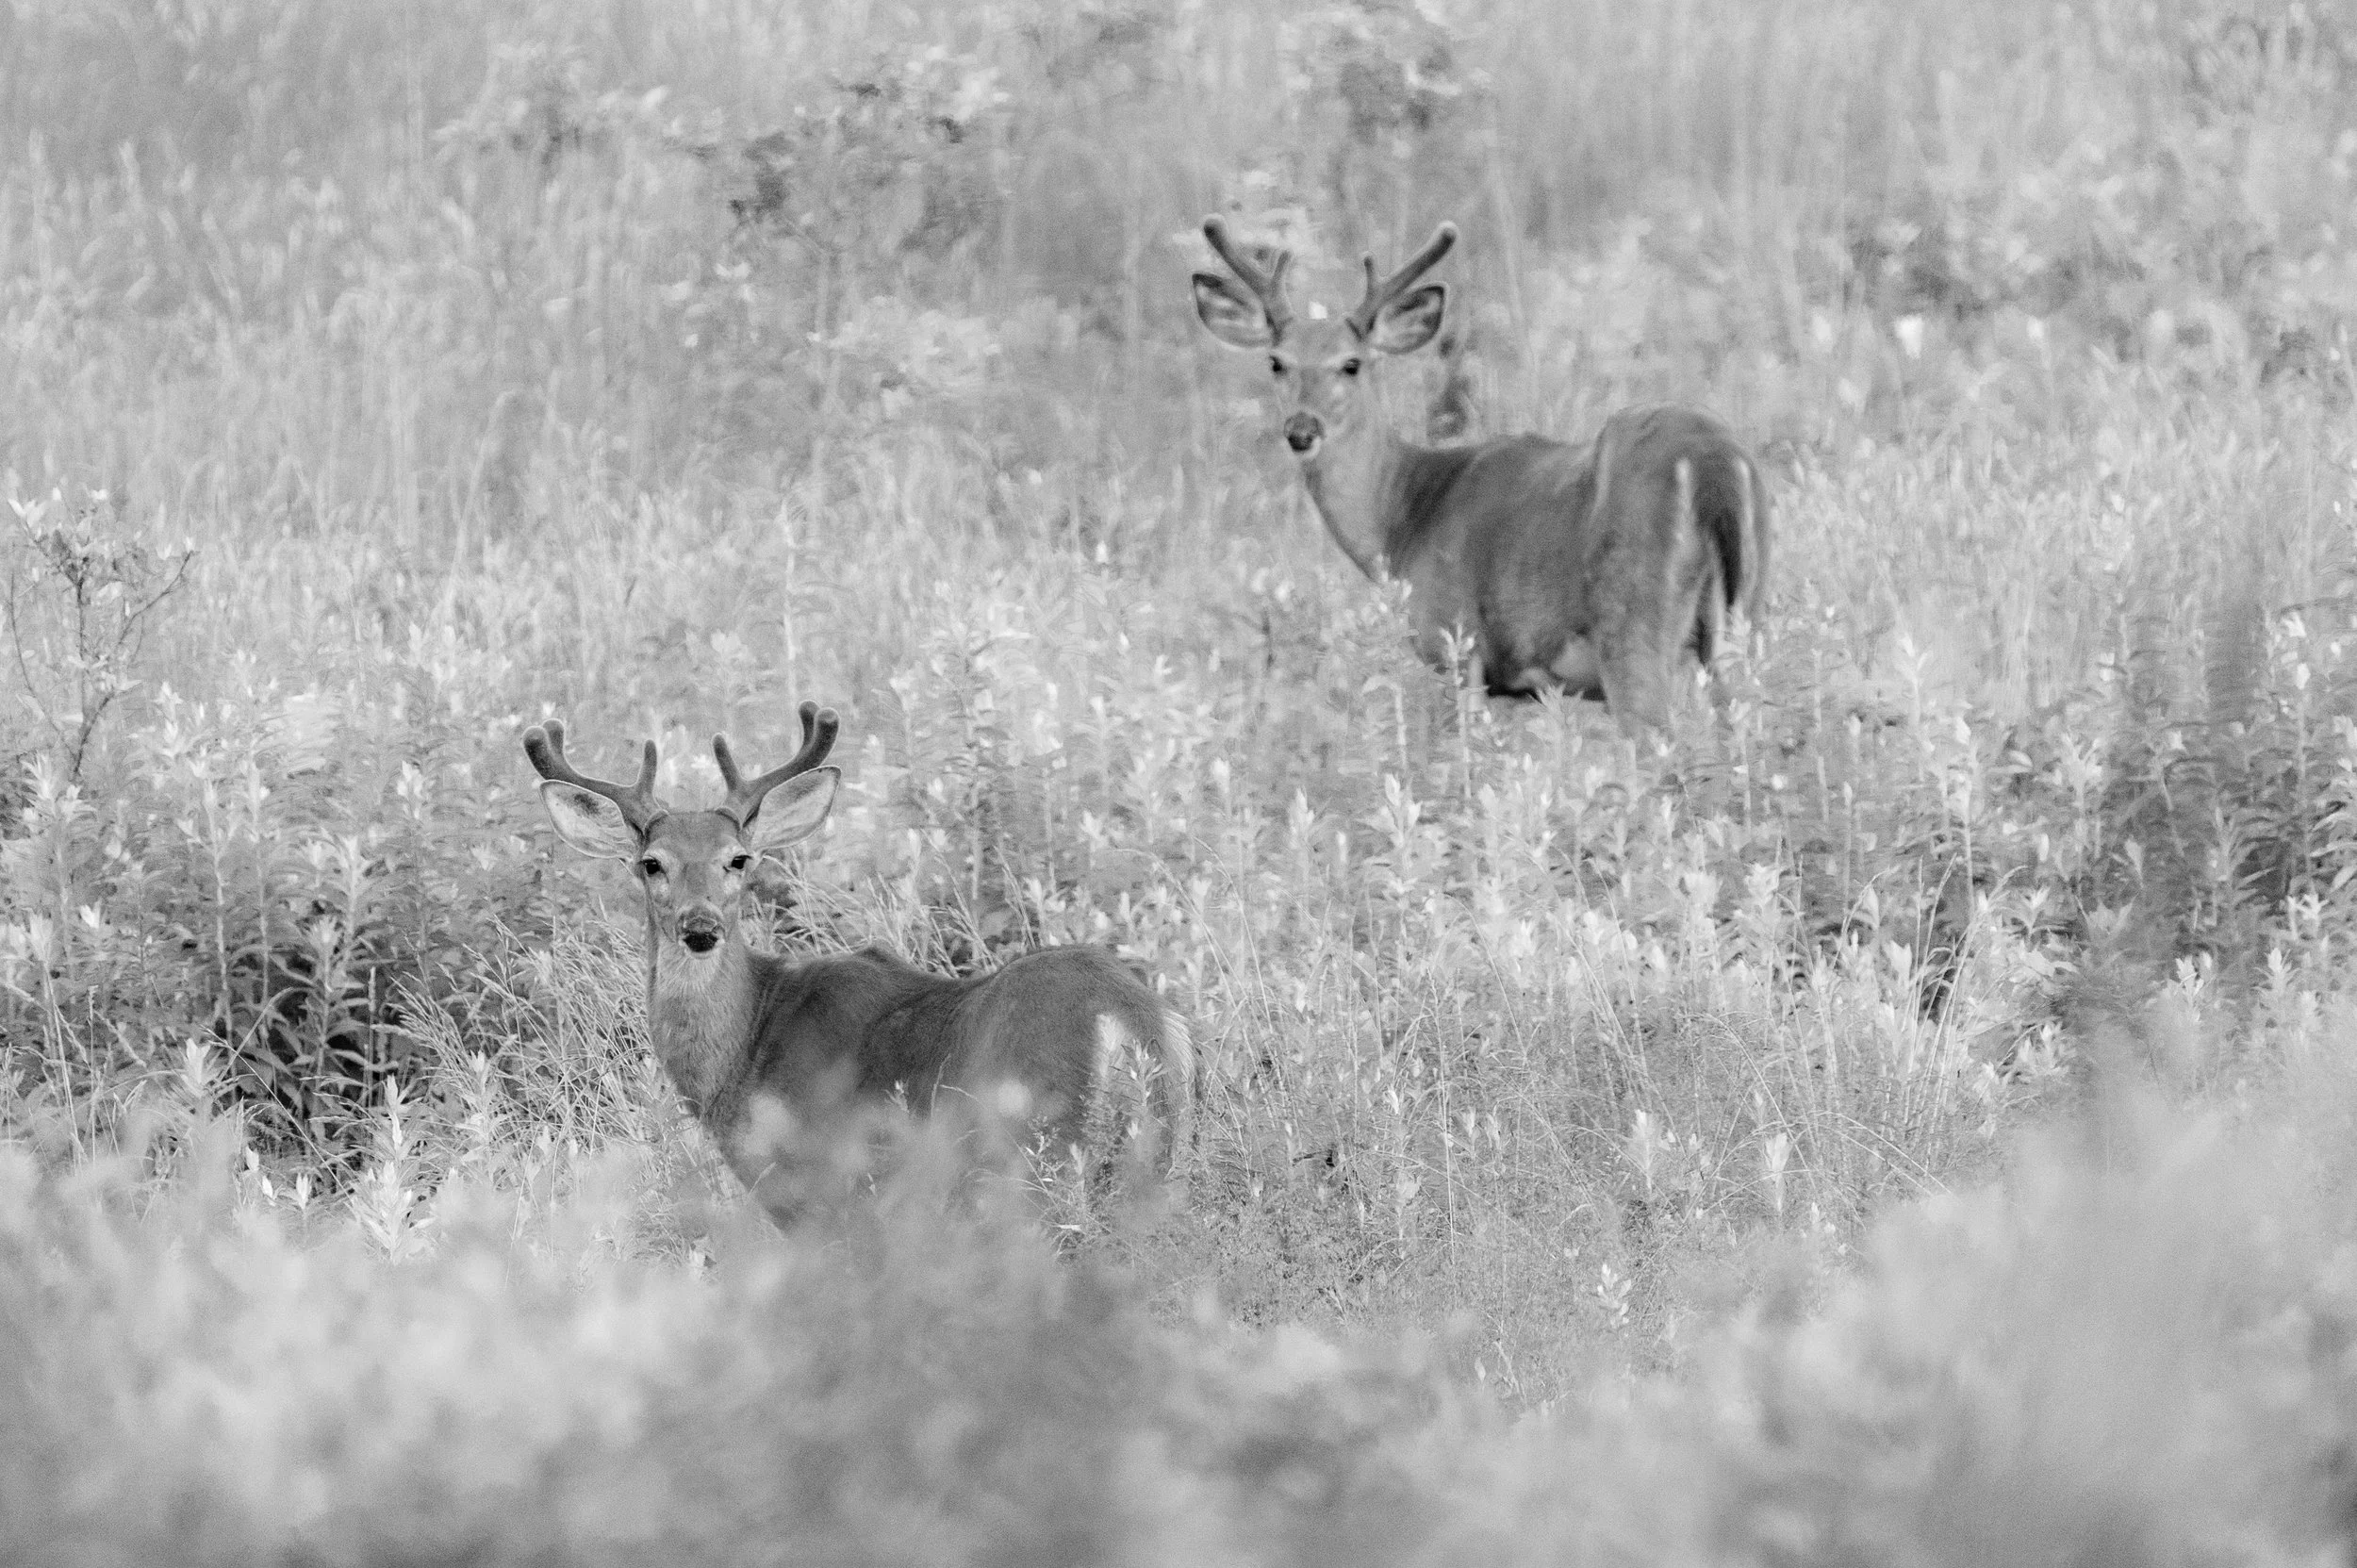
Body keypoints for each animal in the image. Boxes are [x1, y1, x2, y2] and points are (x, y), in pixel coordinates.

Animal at [524, 702, 1189, 1213]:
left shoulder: (818, 1190)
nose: (700, 927)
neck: (745, 1049)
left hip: (1035, 1150)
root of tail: (1124, 1021)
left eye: (738, 858)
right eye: (651, 863)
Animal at [1191, 216, 1769, 734]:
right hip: (1746, 615)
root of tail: (1713, 462)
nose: (1301, 430)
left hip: (1633, 627)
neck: (1405, 518)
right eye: (1276, 361)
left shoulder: (1455, 642)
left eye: (1351, 363)